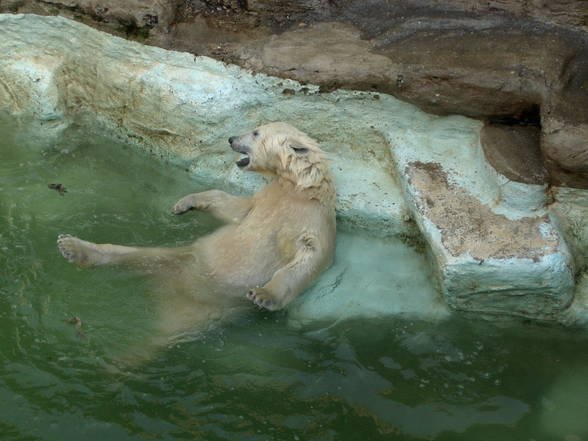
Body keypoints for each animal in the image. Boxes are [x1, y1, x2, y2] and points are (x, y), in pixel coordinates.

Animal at [58, 123, 338, 340]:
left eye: (256, 132)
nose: (231, 138)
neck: (299, 190)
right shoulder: (263, 200)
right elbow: (234, 208)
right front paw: (184, 203)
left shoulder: (312, 220)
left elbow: (309, 256)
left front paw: (263, 295)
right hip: (183, 257)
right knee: (135, 254)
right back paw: (73, 247)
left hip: (208, 305)